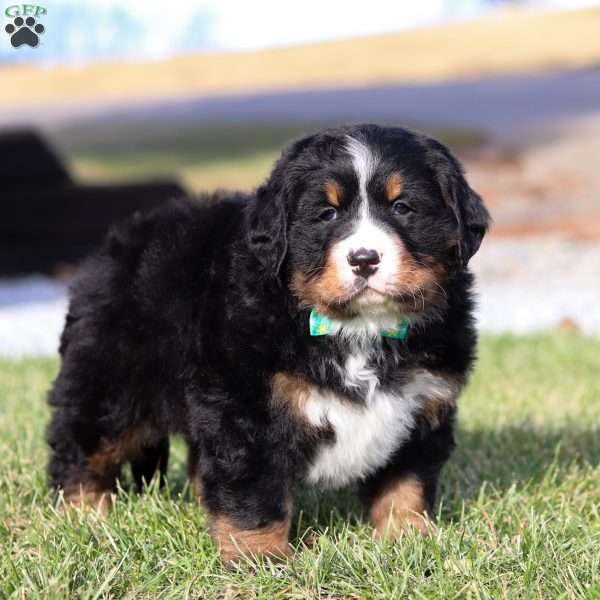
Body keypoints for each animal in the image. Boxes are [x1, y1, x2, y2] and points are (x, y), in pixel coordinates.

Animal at [45, 123, 488, 564]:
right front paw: (260, 559)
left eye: (403, 208)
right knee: (82, 449)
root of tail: (121, 240)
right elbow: (253, 492)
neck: (358, 328)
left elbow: (405, 483)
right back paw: (83, 517)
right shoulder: (247, 408)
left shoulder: (420, 405)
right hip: (110, 386)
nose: (364, 259)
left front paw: (408, 539)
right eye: (326, 214)